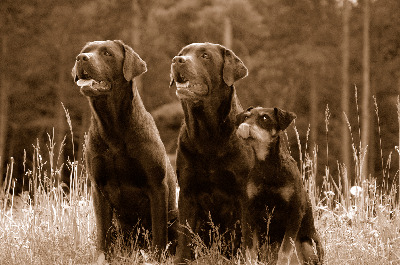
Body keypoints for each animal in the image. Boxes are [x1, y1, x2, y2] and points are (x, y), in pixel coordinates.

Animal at [71, 39, 178, 260]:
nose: (81, 58)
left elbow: (159, 232)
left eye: (107, 53)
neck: (113, 126)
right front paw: (101, 259)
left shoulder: (157, 185)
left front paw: (156, 259)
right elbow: (102, 235)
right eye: (85, 51)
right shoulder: (98, 187)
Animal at [170, 42, 253, 262]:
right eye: (182, 54)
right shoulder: (187, 192)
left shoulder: (243, 192)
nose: (177, 60)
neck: (208, 136)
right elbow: (184, 236)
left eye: (205, 56)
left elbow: (246, 234)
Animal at [236, 106, 324, 264]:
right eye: (246, 116)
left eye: (265, 118)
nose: (245, 126)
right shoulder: (249, 211)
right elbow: (250, 250)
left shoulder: (294, 212)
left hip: (308, 245)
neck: (268, 167)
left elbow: (284, 251)